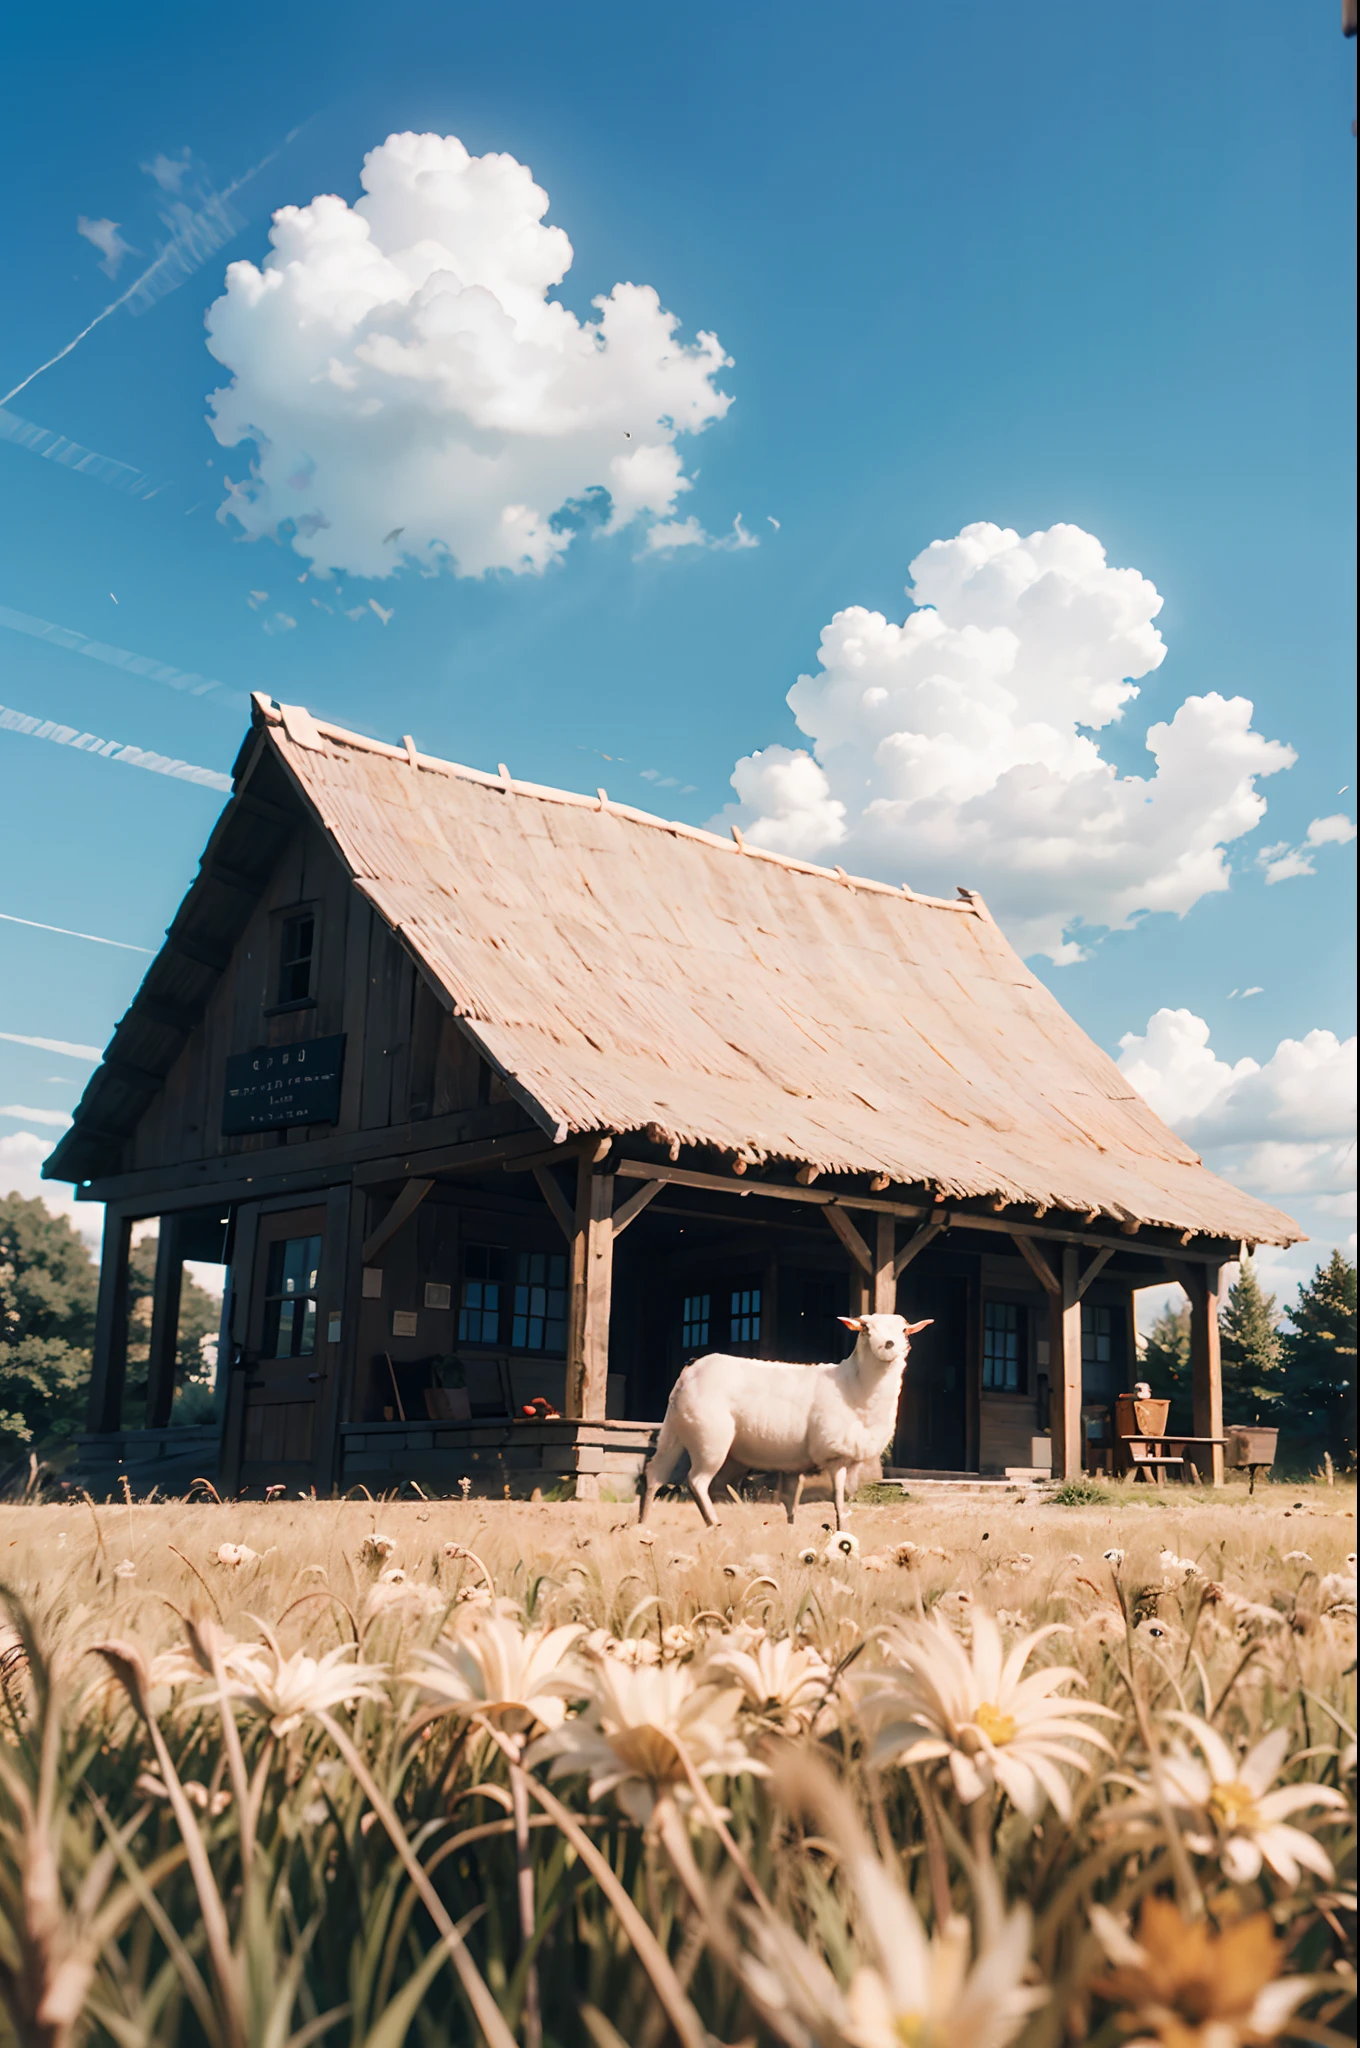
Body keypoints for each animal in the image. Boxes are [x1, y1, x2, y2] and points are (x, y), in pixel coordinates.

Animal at [639, 1318, 933, 1531]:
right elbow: (839, 1499)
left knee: (657, 1474)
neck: (855, 1384)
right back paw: (715, 1524)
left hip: (677, 1433)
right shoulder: (834, 1453)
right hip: (710, 1439)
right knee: (698, 1482)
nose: (889, 1344)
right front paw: (843, 1533)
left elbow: (794, 1499)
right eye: (865, 1329)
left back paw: (644, 1523)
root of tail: (692, 1369)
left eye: (904, 1329)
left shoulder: (800, 1462)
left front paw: (792, 1529)